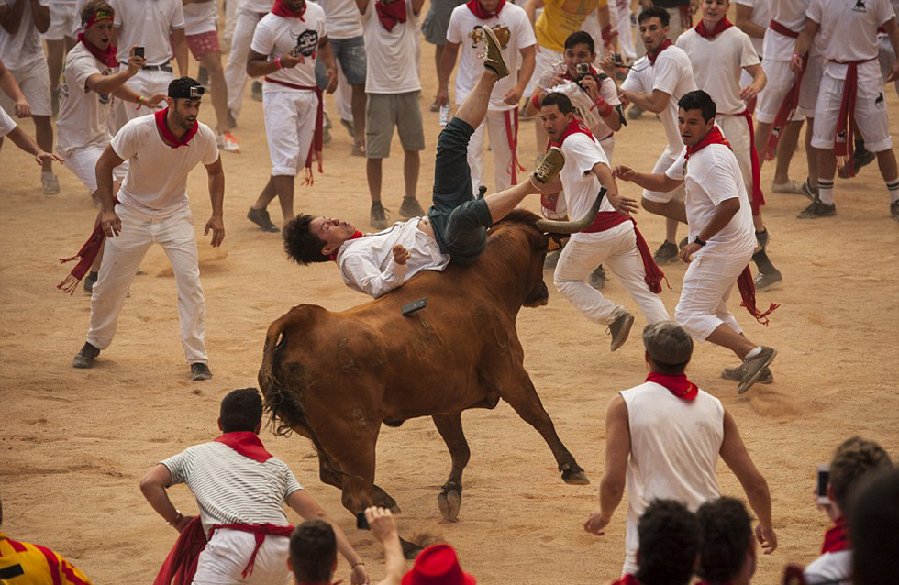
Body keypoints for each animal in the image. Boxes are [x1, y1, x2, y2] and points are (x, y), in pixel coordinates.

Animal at [256, 200, 600, 528]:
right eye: (542, 252)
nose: (541, 294)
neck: (484, 280)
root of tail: (300, 324)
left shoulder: (445, 399)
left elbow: (460, 449)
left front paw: (450, 494)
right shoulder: (510, 372)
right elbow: (539, 417)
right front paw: (572, 468)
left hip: (318, 435)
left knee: (332, 475)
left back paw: (385, 499)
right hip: (356, 436)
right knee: (354, 493)